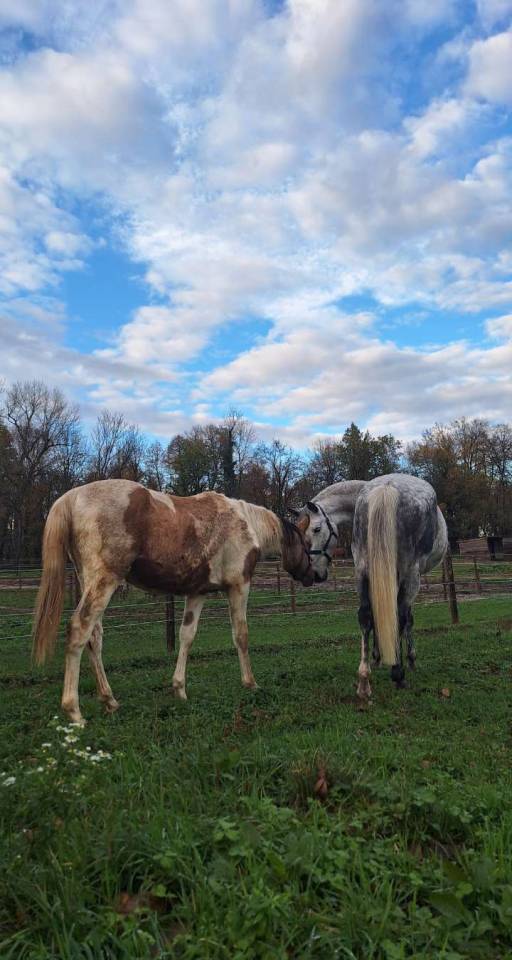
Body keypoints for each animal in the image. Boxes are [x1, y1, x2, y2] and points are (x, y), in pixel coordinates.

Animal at [32, 479, 314, 724]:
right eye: (307, 545)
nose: (312, 576)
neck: (246, 524)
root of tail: (72, 497)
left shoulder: (198, 592)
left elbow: (186, 636)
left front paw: (179, 689)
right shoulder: (239, 586)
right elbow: (241, 636)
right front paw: (251, 683)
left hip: (88, 581)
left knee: (94, 637)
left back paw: (109, 700)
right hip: (104, 581)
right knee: (80, 629)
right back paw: (74, 711)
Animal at [293, 474, 448, 700]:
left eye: (316, 529)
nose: (312, 574)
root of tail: (386, 488)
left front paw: (377, 656)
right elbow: (406, 619)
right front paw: (408, 658)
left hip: (363, 569)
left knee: (365, 616)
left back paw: (364, 681)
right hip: (409, 574)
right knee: (400, 616)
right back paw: (398, 673)